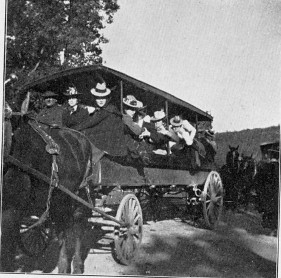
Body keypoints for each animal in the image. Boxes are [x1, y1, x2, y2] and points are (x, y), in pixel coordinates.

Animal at [1, 113, 101, 274]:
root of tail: (81, 137)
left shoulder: (10, 211)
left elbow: (6, 248)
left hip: (80, 194)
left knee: (78, 226)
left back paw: (76, 266)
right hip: (58, 200)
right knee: (63, 228)